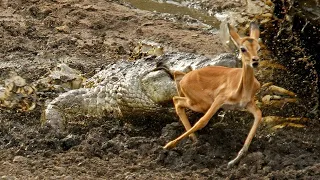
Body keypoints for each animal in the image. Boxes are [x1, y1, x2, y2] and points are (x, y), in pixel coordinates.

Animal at [164, 22, 262, 167]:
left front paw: (234, 160)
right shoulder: (219, 100)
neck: (244, 89)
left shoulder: (247, 104)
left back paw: (194, 140)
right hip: (202, 104)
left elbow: (258, 116)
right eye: (243, 49)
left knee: (177, 97)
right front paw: (168, 145)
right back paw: (191, 140)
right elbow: (202, 121)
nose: (255, 61)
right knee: (176, 100)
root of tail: (185, 78)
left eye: (258, 48)